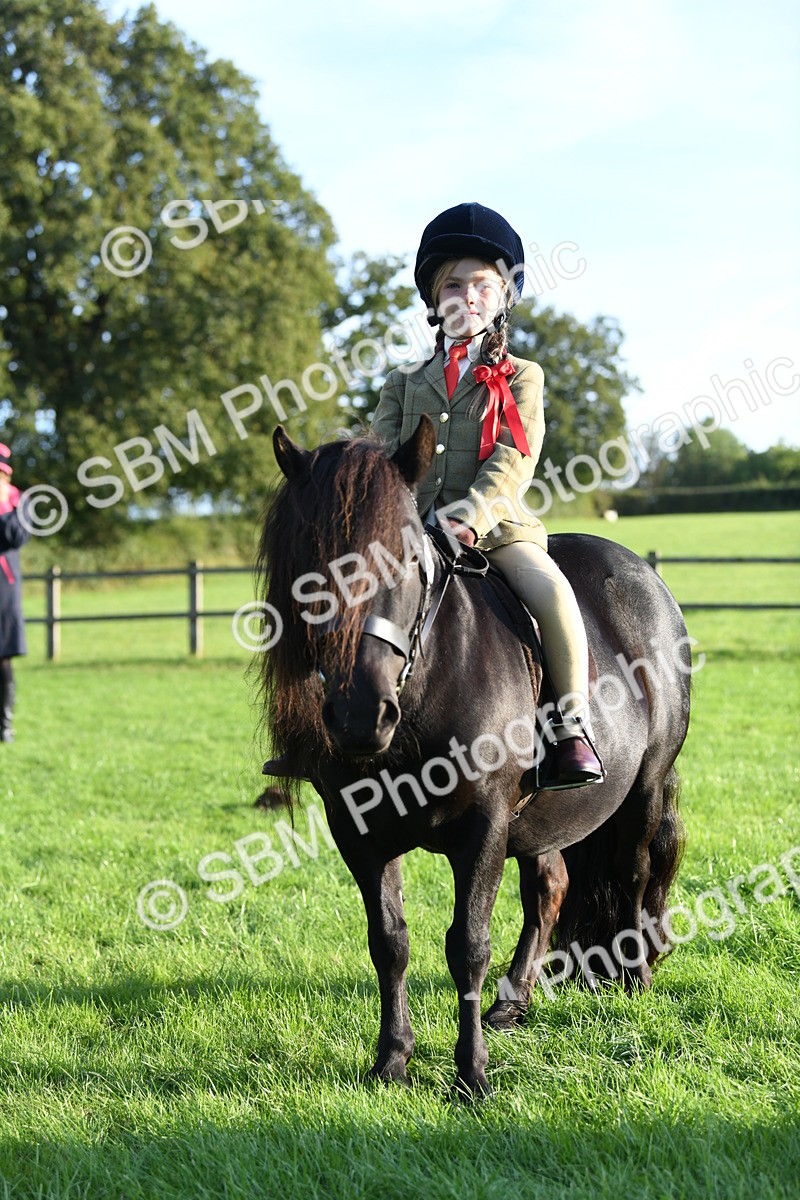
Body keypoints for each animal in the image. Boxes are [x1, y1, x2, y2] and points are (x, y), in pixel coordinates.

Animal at [256, 415, 691, 1099]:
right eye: (305, 566)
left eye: (406, 559)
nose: (358, 714)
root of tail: (641, 574)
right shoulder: (358, 831)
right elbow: (389, 942)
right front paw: (392, 1060)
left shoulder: (484, 825)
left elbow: (467, 945)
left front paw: (472, 1074)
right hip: (541, 820)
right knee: (550, 887)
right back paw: (513, 1002)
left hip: (644, 787)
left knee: (635, 870)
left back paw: (635, 976)